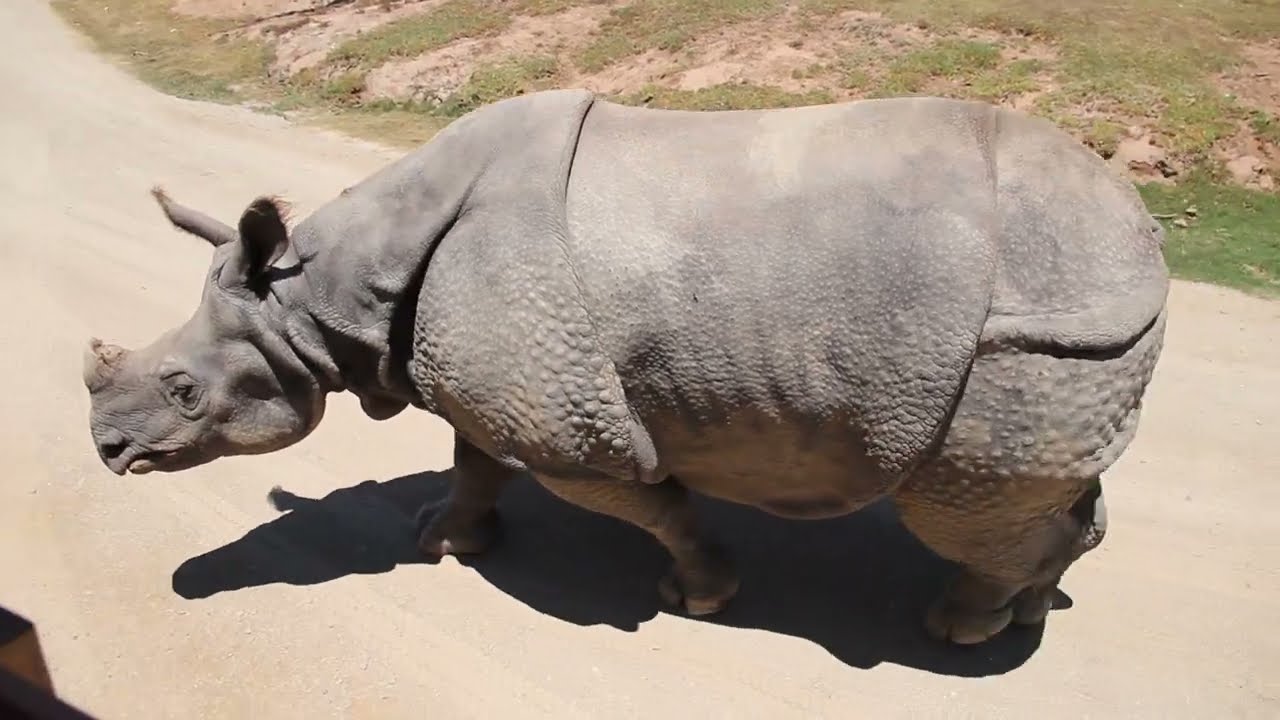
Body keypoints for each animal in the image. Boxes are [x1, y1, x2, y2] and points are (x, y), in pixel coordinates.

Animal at [82, 89, 1168, 645]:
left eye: (184, 391)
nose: (104, 449)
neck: (332, 290)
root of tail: (1140, 238)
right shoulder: (484, 384)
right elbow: (472, 460)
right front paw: (445, 540)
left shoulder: (573, 430)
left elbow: (648, 501)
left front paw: (701, 598)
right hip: (1066, 333)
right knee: (1033, 493)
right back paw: (1033, 605)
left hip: (1033, 328)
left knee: (956, 505)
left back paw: (961, 629)